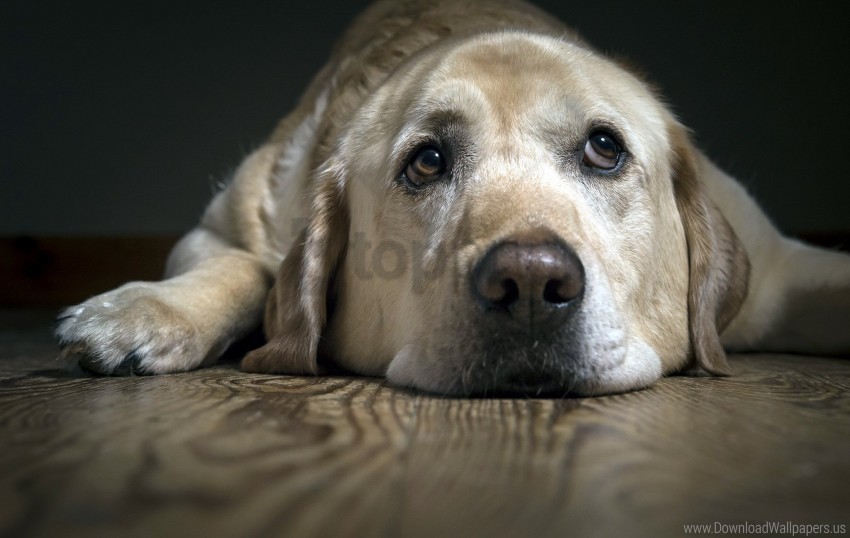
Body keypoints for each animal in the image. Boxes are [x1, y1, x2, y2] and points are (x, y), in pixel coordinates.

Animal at [53, 0, 848, 394]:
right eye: (426, 162)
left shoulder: (784, 272)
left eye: (604, 148)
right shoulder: (218, 227)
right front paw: (140, 313)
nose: (530, 285)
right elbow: (247, 266)